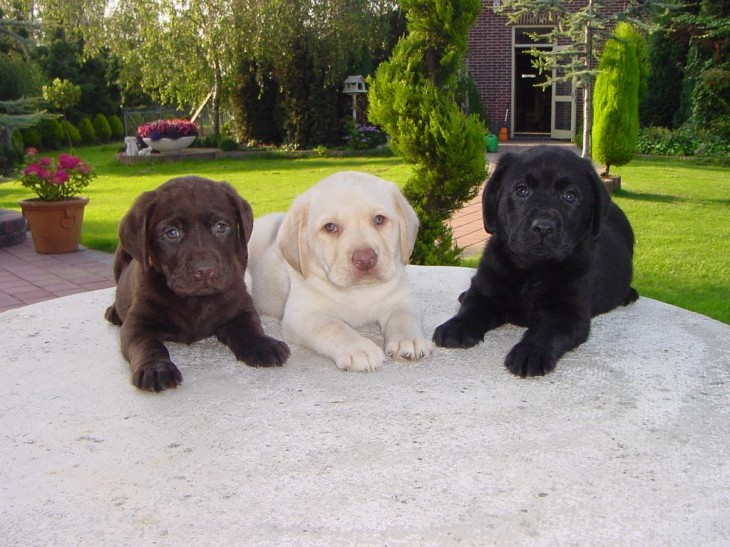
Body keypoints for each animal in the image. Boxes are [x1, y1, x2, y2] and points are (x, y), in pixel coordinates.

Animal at [105, 178, 288, 392]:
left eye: (221, 227)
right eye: (172, 233)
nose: (205, 270)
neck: (194, 301)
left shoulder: (240, 307)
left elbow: (249, 327)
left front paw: (262, 344)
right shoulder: (137, 323)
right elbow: (148, 345)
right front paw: (156, 368)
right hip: (120, 253)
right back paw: (113, 311)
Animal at [436, 146, 636, 376]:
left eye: (570, 196)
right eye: (521, 191)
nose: (543, 227)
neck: (533, 270)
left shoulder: (567, 313)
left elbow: (546, 332)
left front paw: (530, 352)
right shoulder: (486, 287)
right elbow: (472, 307)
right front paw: (456, 326)